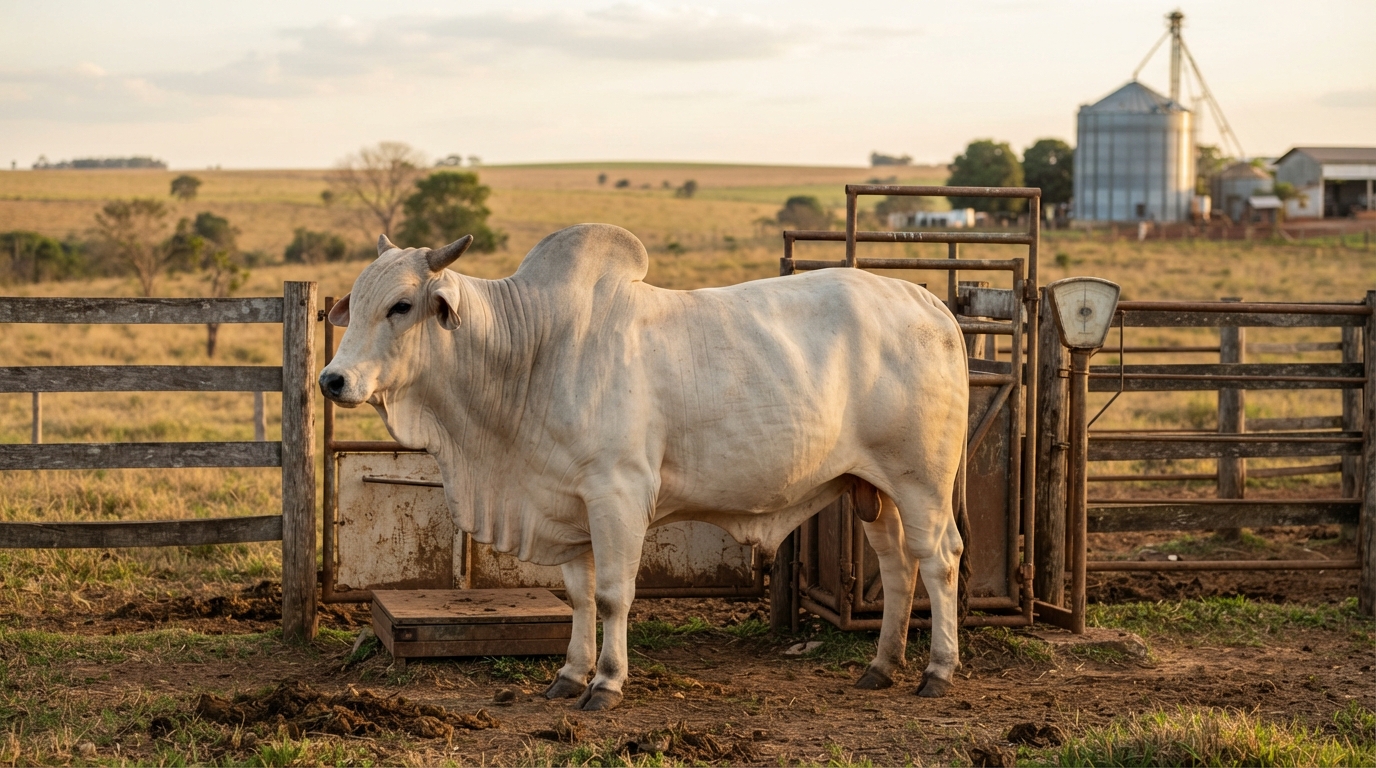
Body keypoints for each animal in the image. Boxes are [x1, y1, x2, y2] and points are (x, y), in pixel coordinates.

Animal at [320, 224, 968, 711]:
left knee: (939, 559)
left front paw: (606, 683)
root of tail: (930, 304)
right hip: (871, 488)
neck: (533, 352)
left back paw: (937, 671)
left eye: (401, 305)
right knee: (897, 566)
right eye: (356, 303)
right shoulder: (568, 503)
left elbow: (612, 595)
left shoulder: (618, 494)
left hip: (922, 481)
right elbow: (579, 597)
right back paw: (881, 666)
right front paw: (569, 676)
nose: (333, 379)